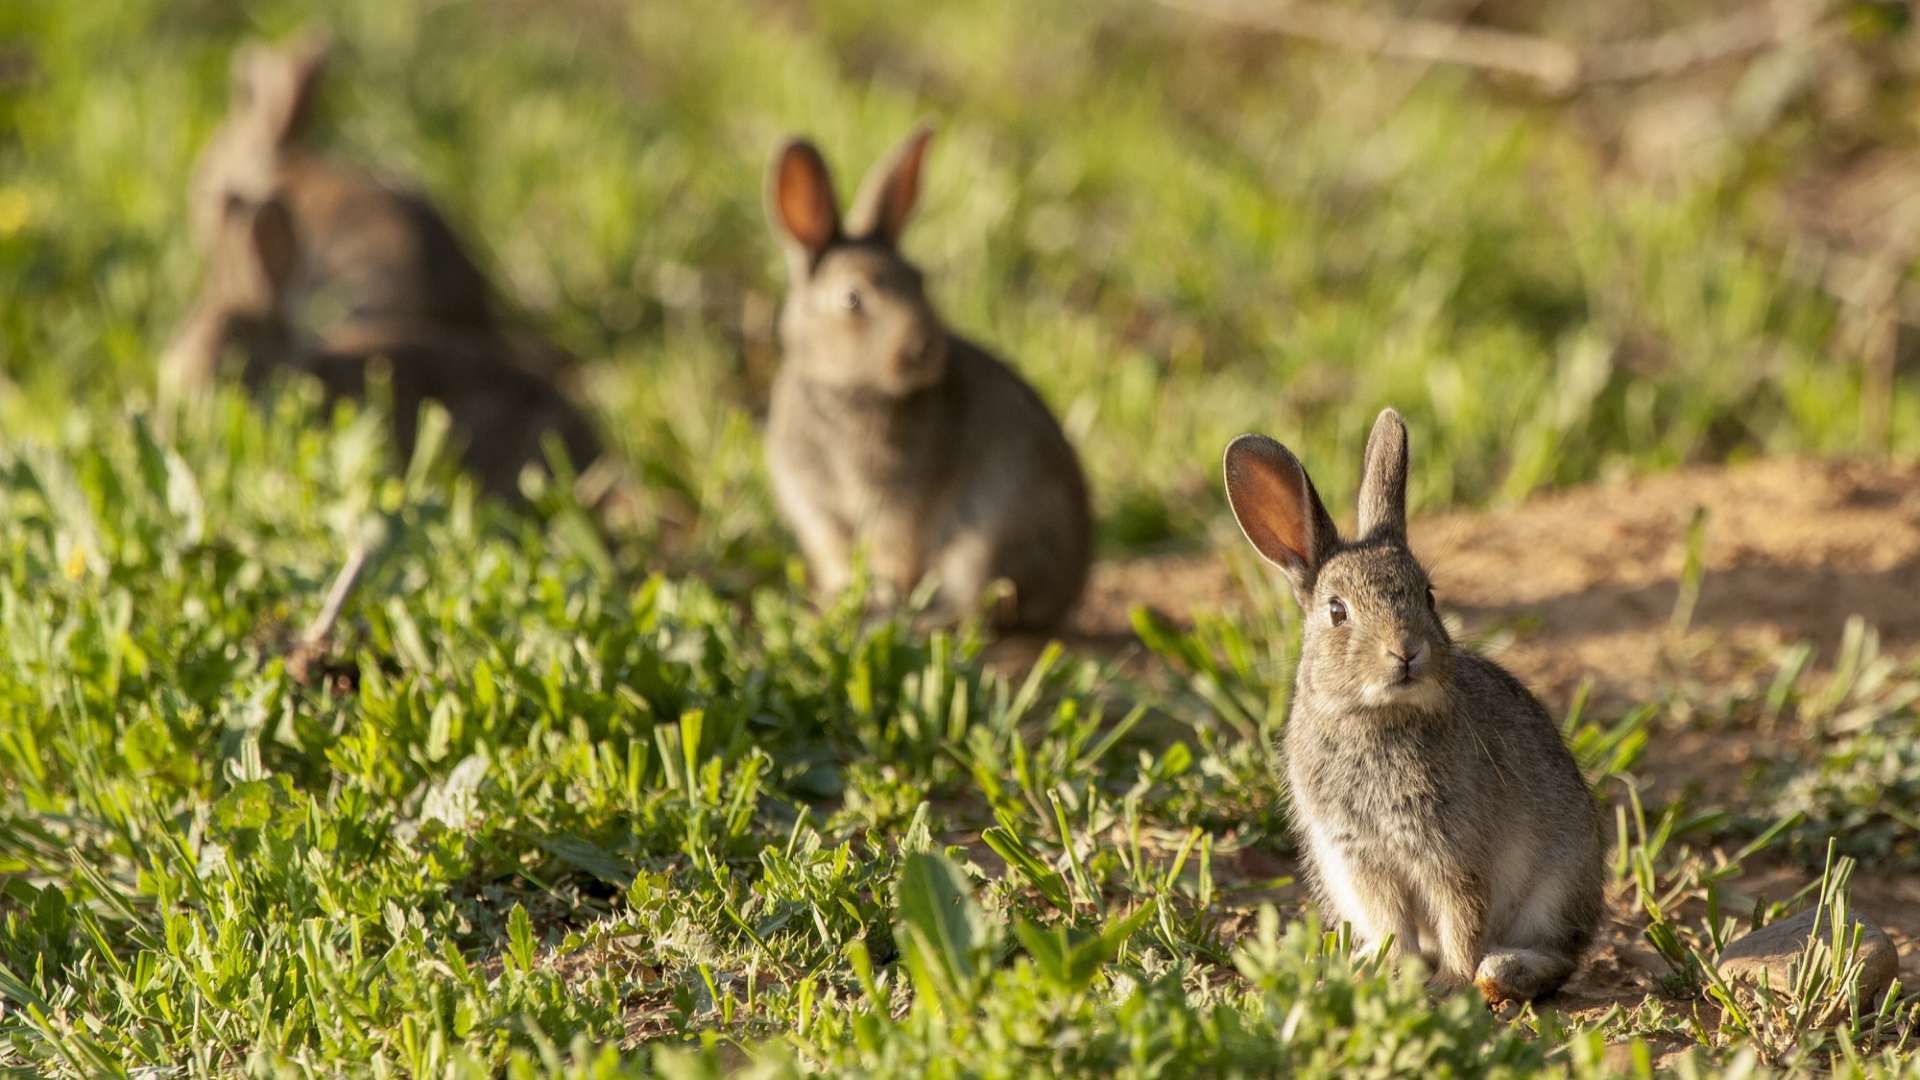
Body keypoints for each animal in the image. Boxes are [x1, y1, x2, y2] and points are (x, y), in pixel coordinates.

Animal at [764, 124, 1092, 633]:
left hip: (982, 539)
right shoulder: (817, 511)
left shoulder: (896, 504)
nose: (925, 348)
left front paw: (878, 604)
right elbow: (839, 560)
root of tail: (1067, 592)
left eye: (919, 280)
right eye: (852, 298)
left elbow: (893, 556)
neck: (845, 392)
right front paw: (841, 605)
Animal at [1222, 408, 1605, 1004]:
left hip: (1557, 884)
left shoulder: (1452, 854)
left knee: (1558, 953)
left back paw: (1501, 973)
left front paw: (1452, 983)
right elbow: (1395, 925)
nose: (1406, 650)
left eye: (1428, 595)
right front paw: (1393, 972)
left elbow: (1461, 918)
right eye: (1337, 611)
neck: (1375, 718)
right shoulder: (1362, 862)